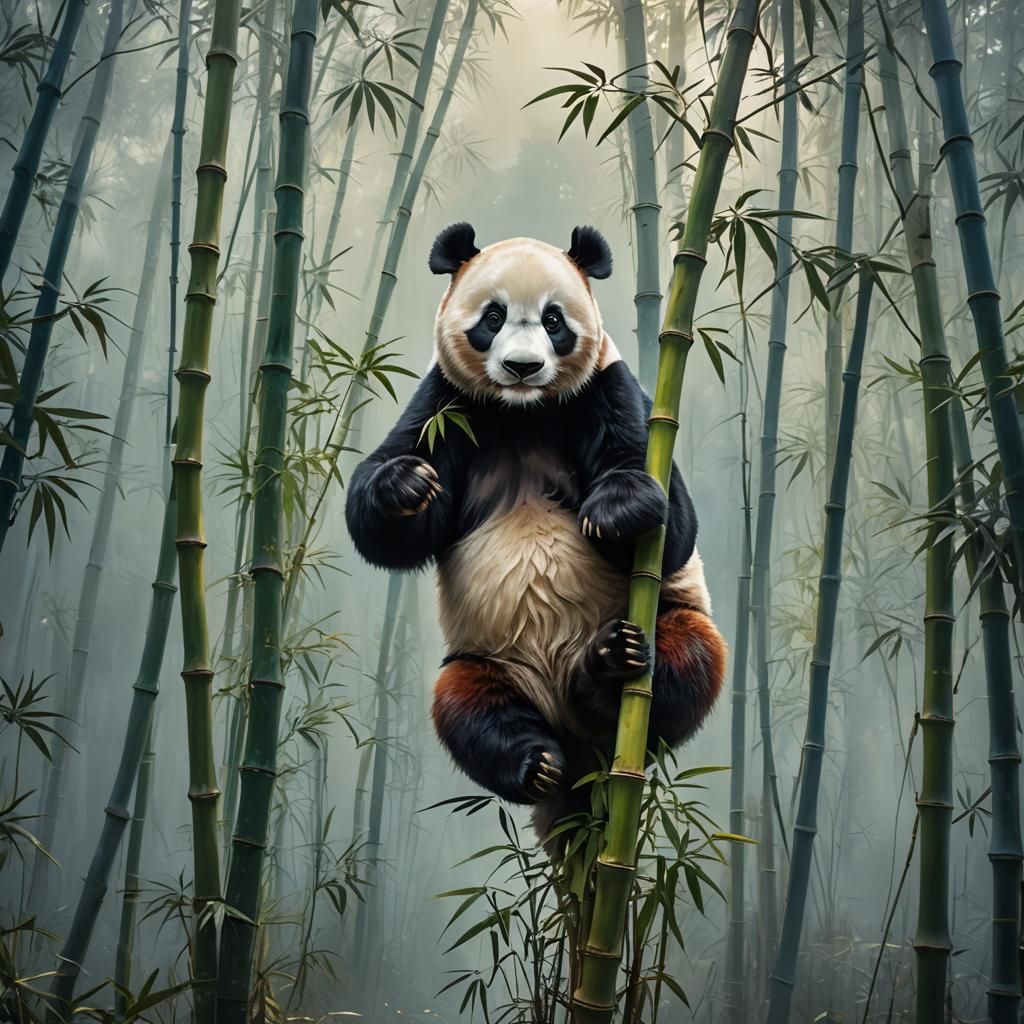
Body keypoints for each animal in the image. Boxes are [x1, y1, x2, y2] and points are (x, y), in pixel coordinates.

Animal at [345, 222, 726, 835]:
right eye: (493, 317)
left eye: (554, 321)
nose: (523, 368)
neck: (523, 412)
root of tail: (584, 758)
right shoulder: (447, 403)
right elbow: (390, 521)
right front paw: (403, 485)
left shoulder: (610, 388)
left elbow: (672, 527)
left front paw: (616, 512)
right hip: (488, 661)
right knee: (473, 713)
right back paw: (534, 763)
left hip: (667, 623)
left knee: (684, 659)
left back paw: (607, 672)